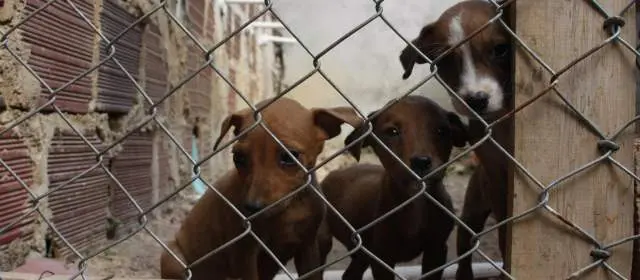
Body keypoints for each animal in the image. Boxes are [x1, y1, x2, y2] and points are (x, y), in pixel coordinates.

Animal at [159, 97, 364, 280]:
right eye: (238, 158)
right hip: (174, 262)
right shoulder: (245, 255)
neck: (291, 208)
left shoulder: (308, 248)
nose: (252, 208)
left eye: (289, 157)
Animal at [400, 1, 516, 278]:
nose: (476, 100)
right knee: (465, 245)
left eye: (501, 49)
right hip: (473, 209)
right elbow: (504, 233)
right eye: (446, 59)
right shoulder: (496, 177)